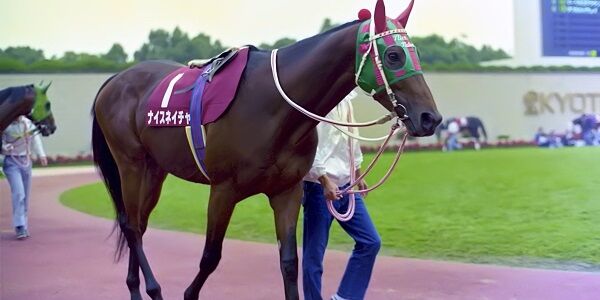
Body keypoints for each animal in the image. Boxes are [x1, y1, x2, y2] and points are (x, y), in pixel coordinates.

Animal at [92, 1, 440, 298]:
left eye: (415, 52)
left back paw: (136, 287)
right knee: (131, 225)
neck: (273, 105)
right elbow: (210, 257)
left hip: (155, 170)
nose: (430, 117)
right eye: (393, 55)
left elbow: (290, 263)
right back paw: (151, 289)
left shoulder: (287, 191)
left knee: (138, 223)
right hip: (131, 164)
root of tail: (114, 79)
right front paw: (189, 293)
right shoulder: (223, 190)